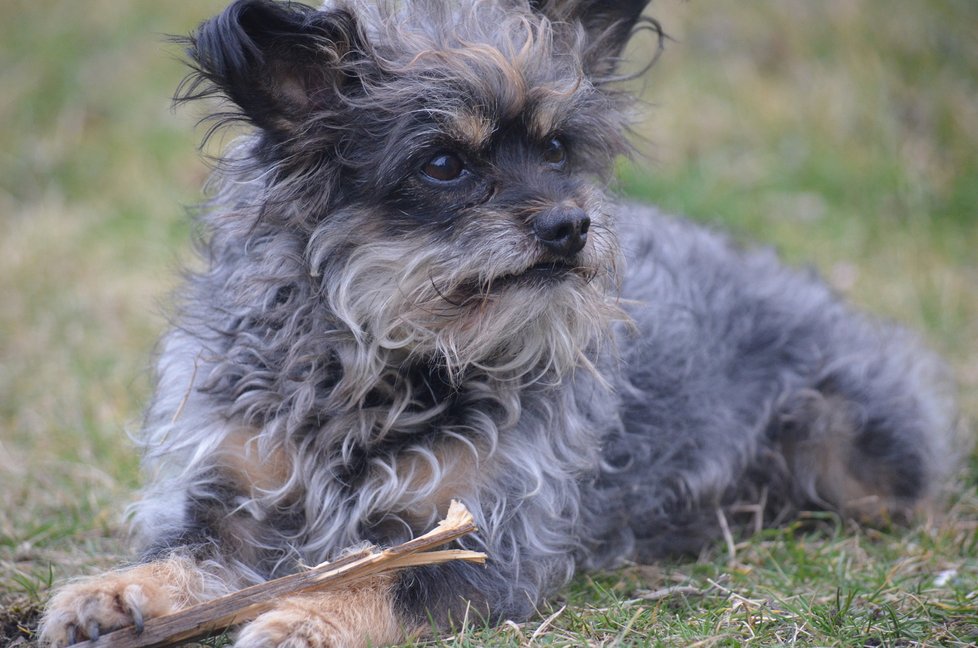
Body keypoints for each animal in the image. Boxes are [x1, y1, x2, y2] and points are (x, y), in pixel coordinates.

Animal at [40, 1, 952, 648]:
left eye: (555, 151)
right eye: (445, 163)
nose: (570, 226)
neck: (382, 368)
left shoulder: (492, 539)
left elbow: (382, 579)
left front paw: (306, 616)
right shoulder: (228, 487)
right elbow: (185, 554)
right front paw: (115, 592)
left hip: (848, 453)